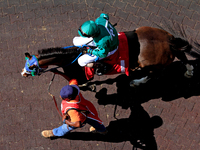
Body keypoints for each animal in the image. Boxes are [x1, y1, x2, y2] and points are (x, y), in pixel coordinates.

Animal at [21, 25, 195, 86]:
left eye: (30, 66)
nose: (22, 73)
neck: (72, 59)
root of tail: (168, 40)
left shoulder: (80, 76)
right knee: (181, 54)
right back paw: (189, 71)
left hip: (150, 63)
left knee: (154, 74)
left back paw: (136, 81)